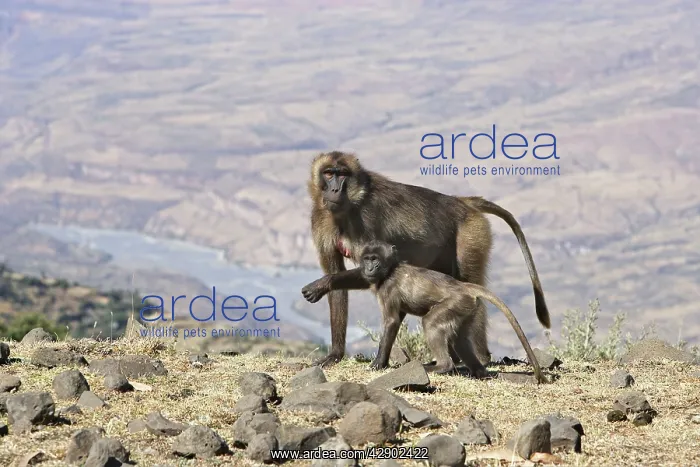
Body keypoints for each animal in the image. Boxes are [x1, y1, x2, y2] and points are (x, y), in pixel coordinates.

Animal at [301, 241, 547, 384]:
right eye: (367, 259)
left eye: (375, 260)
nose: (370, 268)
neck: (390, 270)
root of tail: (463, 287)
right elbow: (390, 312)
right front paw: (321, 285)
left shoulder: (389, 288)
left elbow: (391, 321)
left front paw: (378, 364)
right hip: (467, 308)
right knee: (459, 339)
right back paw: (479, 372)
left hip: (455, 302)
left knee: (431, 323)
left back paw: (441, 367)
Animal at [307, 150, 550, 368]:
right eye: (328, 173)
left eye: (342, 174)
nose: (335, 189)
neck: (349, 206)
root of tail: (461, 202)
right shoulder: (320, 219)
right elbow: (337, 281)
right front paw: (335, 354)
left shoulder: (366, 220)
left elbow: (371, 273)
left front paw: (322, 284)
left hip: (472, 234)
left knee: (471, 284)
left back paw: (480, 357)